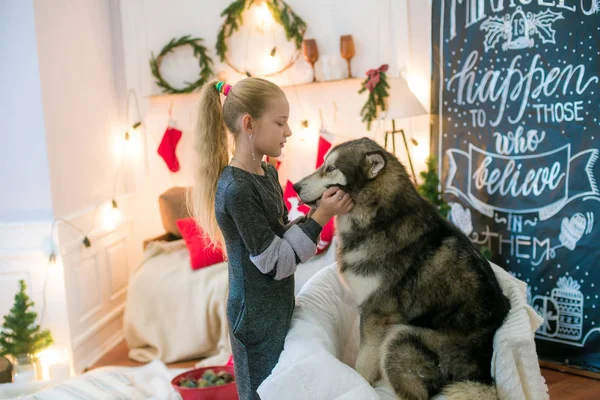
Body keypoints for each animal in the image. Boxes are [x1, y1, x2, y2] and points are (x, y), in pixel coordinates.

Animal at [292, 138, 508, 400]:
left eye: (331, 168)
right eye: (323, 164)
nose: (295, 186)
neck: (377, 218)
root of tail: (482, 376)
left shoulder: (375, 314)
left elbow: (363, 364)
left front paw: (362, 383)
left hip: (399, 337)